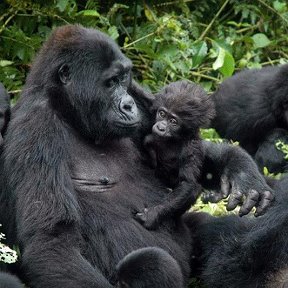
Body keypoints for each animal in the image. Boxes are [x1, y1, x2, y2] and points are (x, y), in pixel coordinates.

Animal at [135, 81, 214, 230]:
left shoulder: (192, 147)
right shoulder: (154, 105)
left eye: (173, 121)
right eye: (161, 113)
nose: (160, 127)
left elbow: (187, 184)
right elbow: (145, 98)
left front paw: (152, 214)